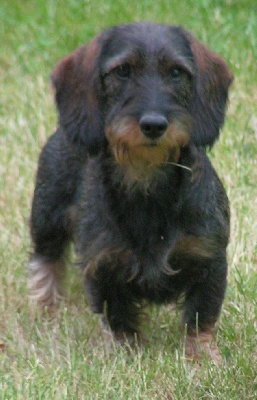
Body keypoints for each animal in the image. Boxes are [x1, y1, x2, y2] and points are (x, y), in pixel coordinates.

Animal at [28, 23, 232, 364]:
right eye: (122, 71)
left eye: (176, 72)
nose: (154, 124)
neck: (146, 180)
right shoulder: (104, 264)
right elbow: (118, 316)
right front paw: (128, 356)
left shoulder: (209, 257)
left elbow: (200, 315)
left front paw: (202, 357)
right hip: (46, 218)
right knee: (46, 262)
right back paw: (46, 309)